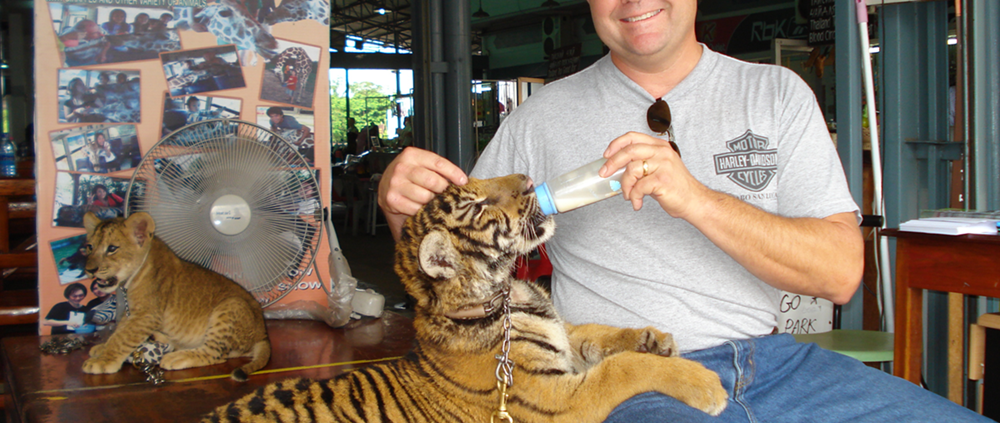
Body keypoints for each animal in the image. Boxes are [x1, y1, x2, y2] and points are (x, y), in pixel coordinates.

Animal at [81, 212, 270, 381]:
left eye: (112, 249)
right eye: (89, 247)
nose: (89, 270)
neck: (128, 281)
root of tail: (263, 334)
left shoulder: (146, 315)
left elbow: (122, 338)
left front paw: (102, 361)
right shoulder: (132, 313)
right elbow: (119, 331)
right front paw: (102, 348)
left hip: (232, 304)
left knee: (215, 354)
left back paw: (177, 357)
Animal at [201, 174, 727, 422]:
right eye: (477, 206)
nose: (527, 178)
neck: (507, 291)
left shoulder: (561, 335)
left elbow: (593, 333)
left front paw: (652, 338)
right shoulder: (555, 400)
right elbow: (621, 371)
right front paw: (705, 385)